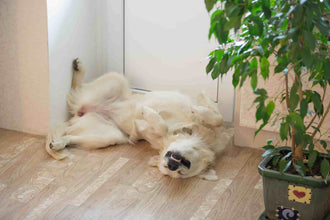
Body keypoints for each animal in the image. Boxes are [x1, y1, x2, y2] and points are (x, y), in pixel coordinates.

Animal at [46, 58, 226, 180]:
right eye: (185, 164)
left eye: (181, 171)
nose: (171, 165)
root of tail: (80, 113)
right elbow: (217, 118)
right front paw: (197, 110)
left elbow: (161, 127)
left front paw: (147, 113)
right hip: (116, 80)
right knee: (77, 89)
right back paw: (79, 68)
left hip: (109, 136)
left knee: (71, 134)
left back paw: (58, 143)